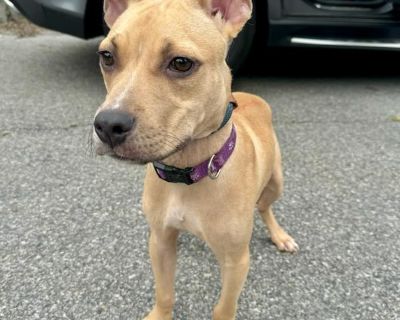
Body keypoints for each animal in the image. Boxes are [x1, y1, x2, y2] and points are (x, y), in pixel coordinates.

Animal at [93, 0, 296, 320]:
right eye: (107, 57)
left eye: (181, 63)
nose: (108, 125)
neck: (188, 170)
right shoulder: (160, 242)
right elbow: (164, 292)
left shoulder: (237, 262)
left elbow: (224, 308)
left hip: (276, 182)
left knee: (265, 206)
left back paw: (279, 235)